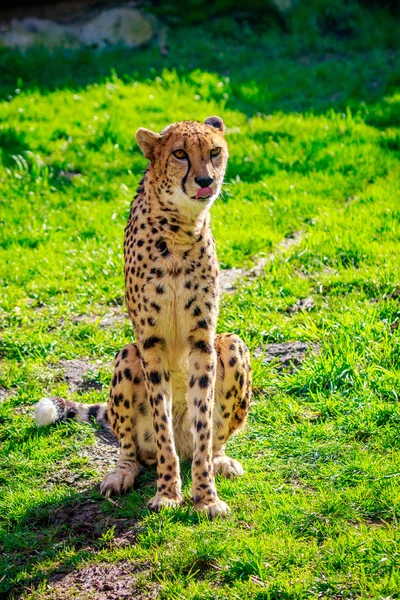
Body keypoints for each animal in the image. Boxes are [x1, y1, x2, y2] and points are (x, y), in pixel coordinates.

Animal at [36, 116, 252, 516]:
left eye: (214, 151)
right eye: (180, 154)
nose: (206, 181)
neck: (181, 228)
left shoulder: (202, 343)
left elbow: (202, 427)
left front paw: (205, 497)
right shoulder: (150, 344)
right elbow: (162, 427)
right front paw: (168, 493)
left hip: (230, 344)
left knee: (210, 440)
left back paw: (220, 460)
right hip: (127, 356)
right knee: (131, 448)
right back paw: (120, 474)